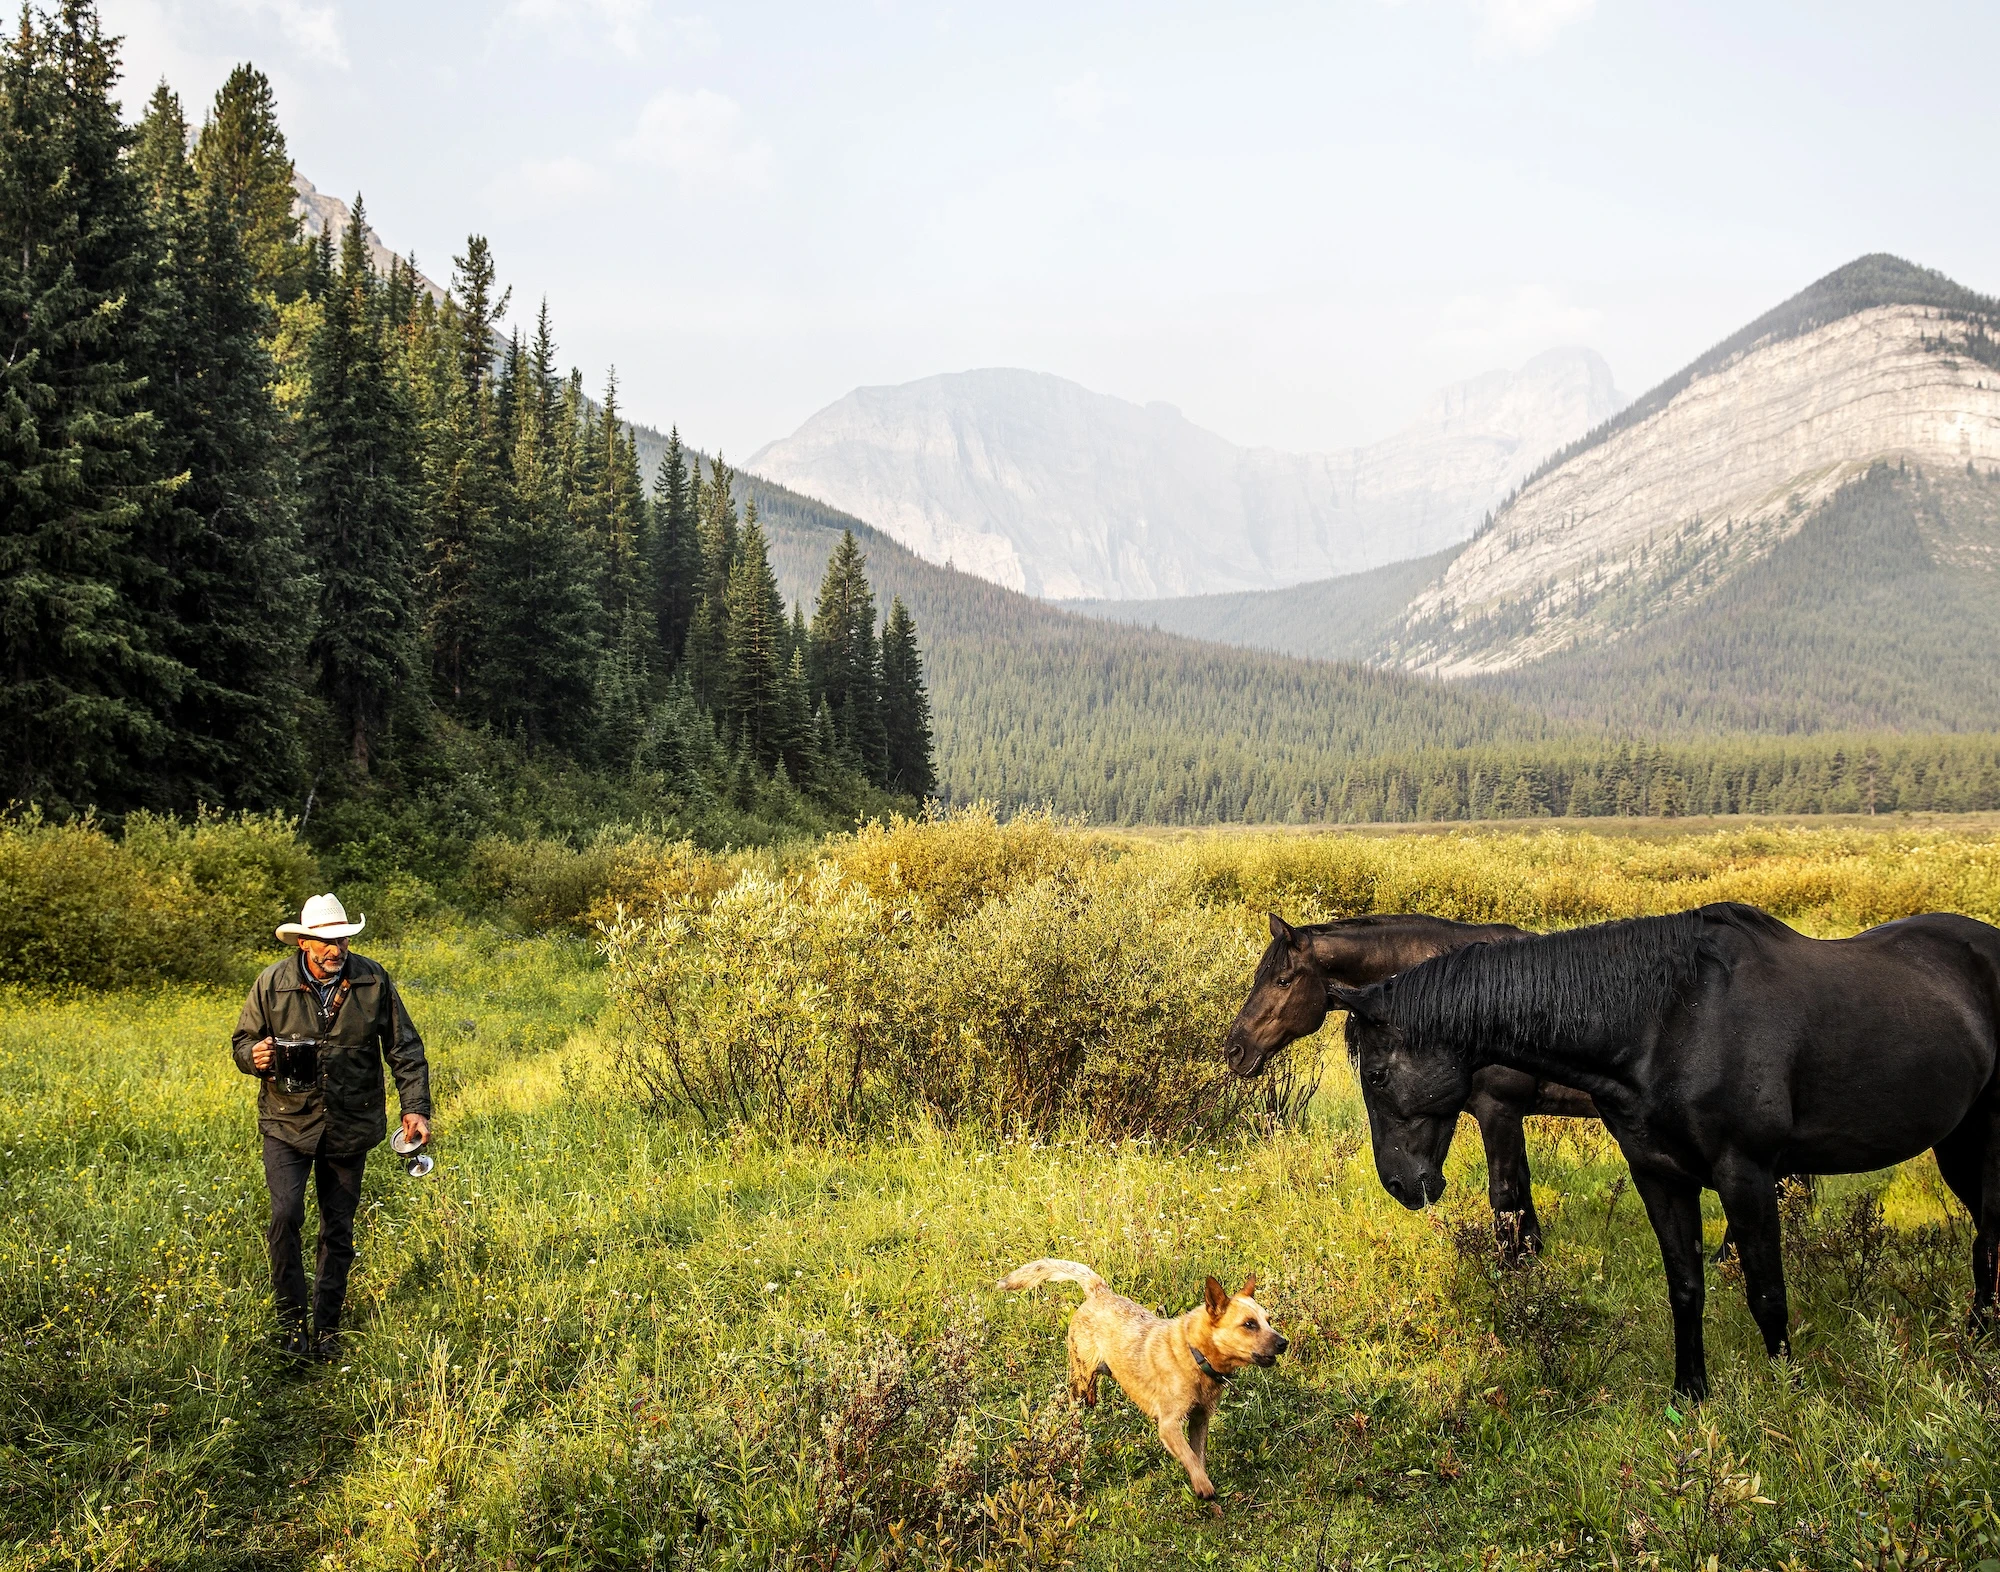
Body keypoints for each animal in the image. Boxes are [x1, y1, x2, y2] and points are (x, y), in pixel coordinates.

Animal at [1000, 1256, 1296, 1504]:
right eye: (1249, 1324)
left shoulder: (1200, 1418)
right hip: (1080, 1374)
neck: (1195, 1355)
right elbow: (1188, 1455)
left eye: (1268, 1320)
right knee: (1077, 1399)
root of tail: (1100, 1291)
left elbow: (1198, 1455)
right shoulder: (1169, 1424)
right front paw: (1203, 1487)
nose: (1284, 1342)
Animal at [1328, 900, 2000, 1392]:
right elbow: (1685, 1287)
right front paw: (1691, 1392)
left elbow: (1766, 1292)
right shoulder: (1658, 1174)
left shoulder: (1746, 1174)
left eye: (1378, 1075)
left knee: (1989, 1233)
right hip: (1957, 1143)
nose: (1400, 1184)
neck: (1669, 1023)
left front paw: (1788, 1393)